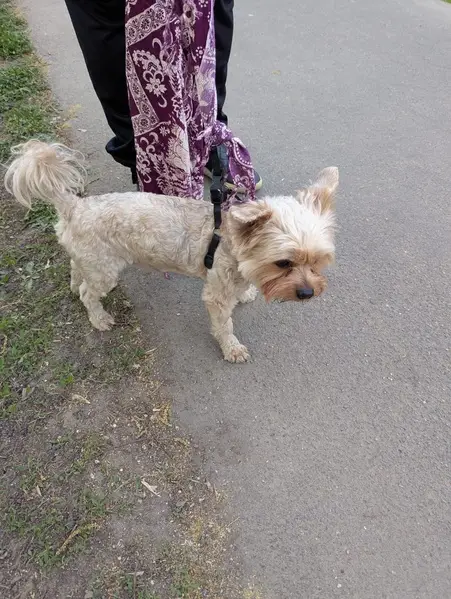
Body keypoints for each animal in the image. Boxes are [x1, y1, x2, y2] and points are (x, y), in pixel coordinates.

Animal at [4, 140, 338, 363]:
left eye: (318, 261)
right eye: (283, 263)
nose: (308, 293)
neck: (228, 241)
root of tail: (75, 206)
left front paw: (245, 293)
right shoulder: (216, 294)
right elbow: (224, 324)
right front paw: (231, 347)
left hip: (91, 259)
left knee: (76, 269)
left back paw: (75, 285)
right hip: (104, 270)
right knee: (89, 292)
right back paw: (98, 317)